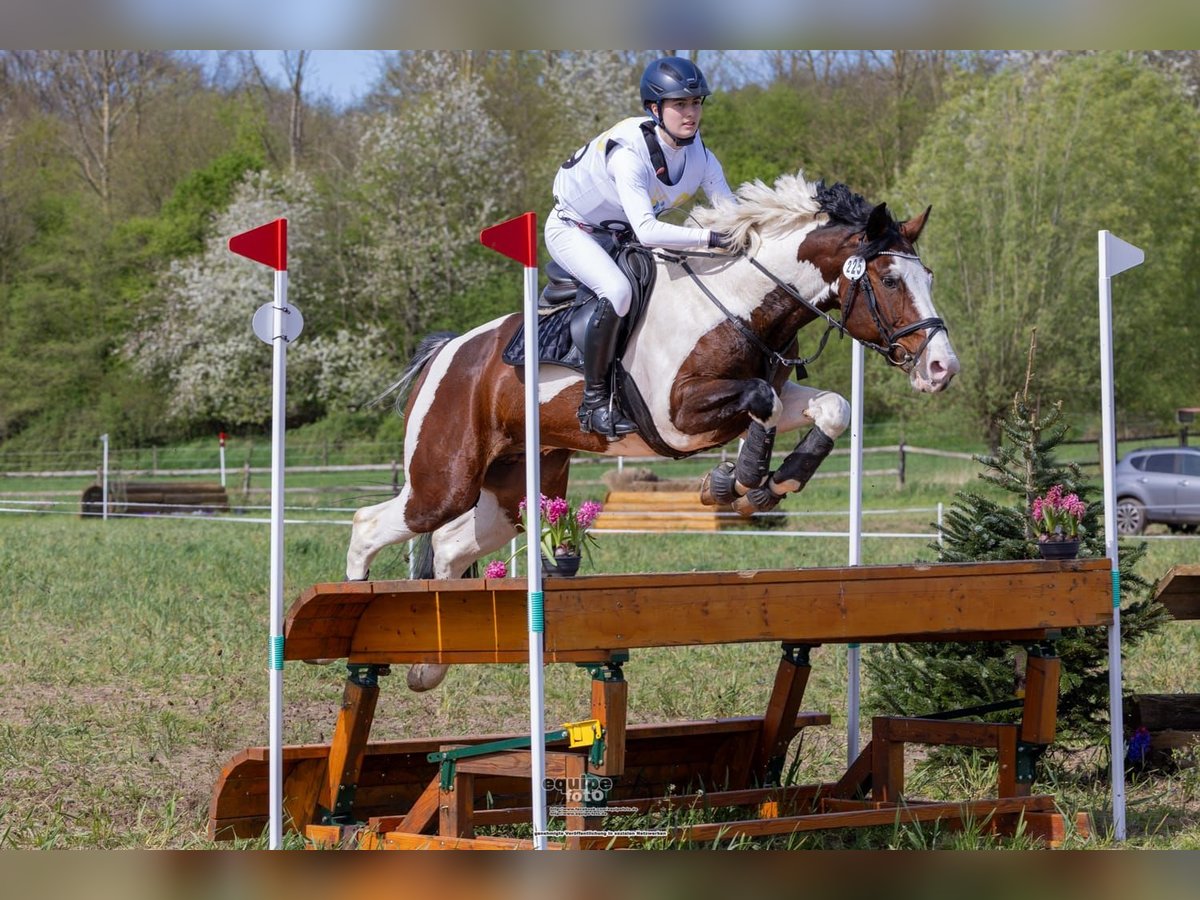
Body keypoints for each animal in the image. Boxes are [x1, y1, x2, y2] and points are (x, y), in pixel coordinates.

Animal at [345, 177, 955, 696]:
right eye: (890, 279)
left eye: (929, 277)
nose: (942, 368)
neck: (741, 302)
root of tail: (445, 352)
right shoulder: (677, 418)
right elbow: (762, 399)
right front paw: (741, 479)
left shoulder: (771, 394)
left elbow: (830, 407)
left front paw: (766, 482)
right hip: (443, 481)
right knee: (370, 525)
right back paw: (357, 620)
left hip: (512, 492)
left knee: (449, 547)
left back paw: (428, 667)